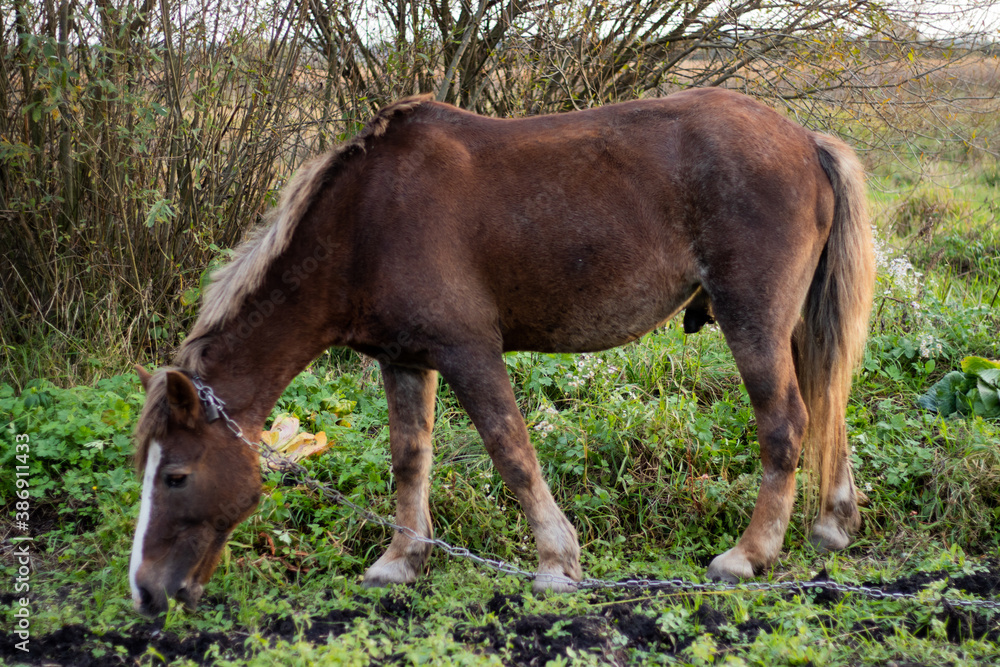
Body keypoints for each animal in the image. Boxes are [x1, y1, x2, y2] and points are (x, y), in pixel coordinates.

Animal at [129, 87, 875, 616]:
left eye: (177, 476)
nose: (145, 593)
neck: (365, 223)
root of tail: (805, 140)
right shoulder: (405, 360)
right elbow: (410, 459)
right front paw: (402, 559)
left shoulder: (470, 354)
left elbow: (510, 451)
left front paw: (556, 563)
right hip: (792, 325)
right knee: (826, 407)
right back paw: (833, 526)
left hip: (752, 321)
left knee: (786, 424)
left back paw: (746, 556)